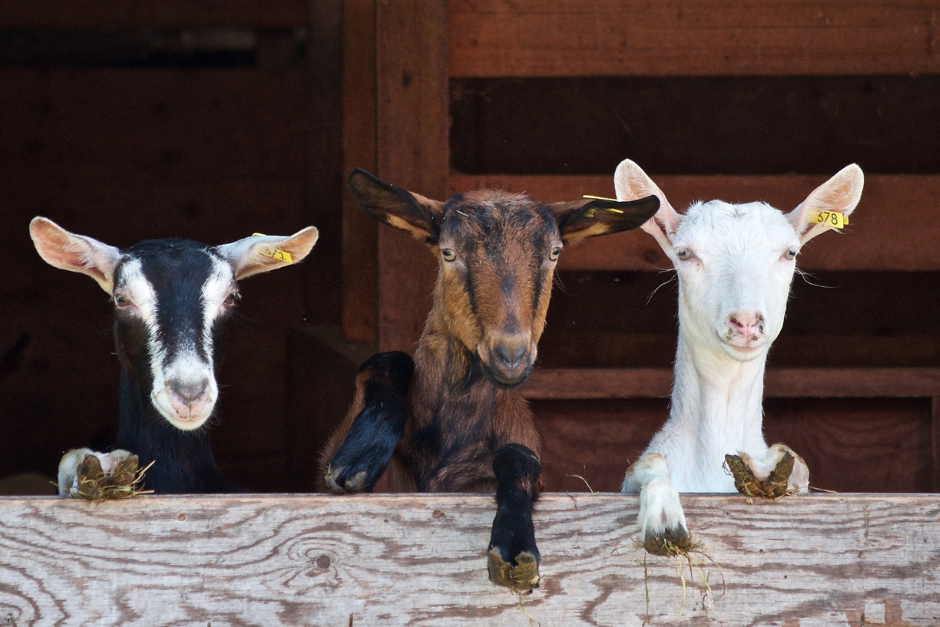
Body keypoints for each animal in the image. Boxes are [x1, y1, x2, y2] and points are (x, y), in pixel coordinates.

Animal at [320, 169, 656, 592]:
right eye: (448, 252)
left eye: (554, 253)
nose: (510, 355)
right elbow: (387, 360)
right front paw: (360, 455)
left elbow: (520, 457)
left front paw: (514, 546)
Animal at [616, 159, 868, 552]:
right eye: (684, 253)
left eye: (790, 253)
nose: (746, 321)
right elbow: (647, 464)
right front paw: (664, 520)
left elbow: (797, 465)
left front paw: (766, 468)